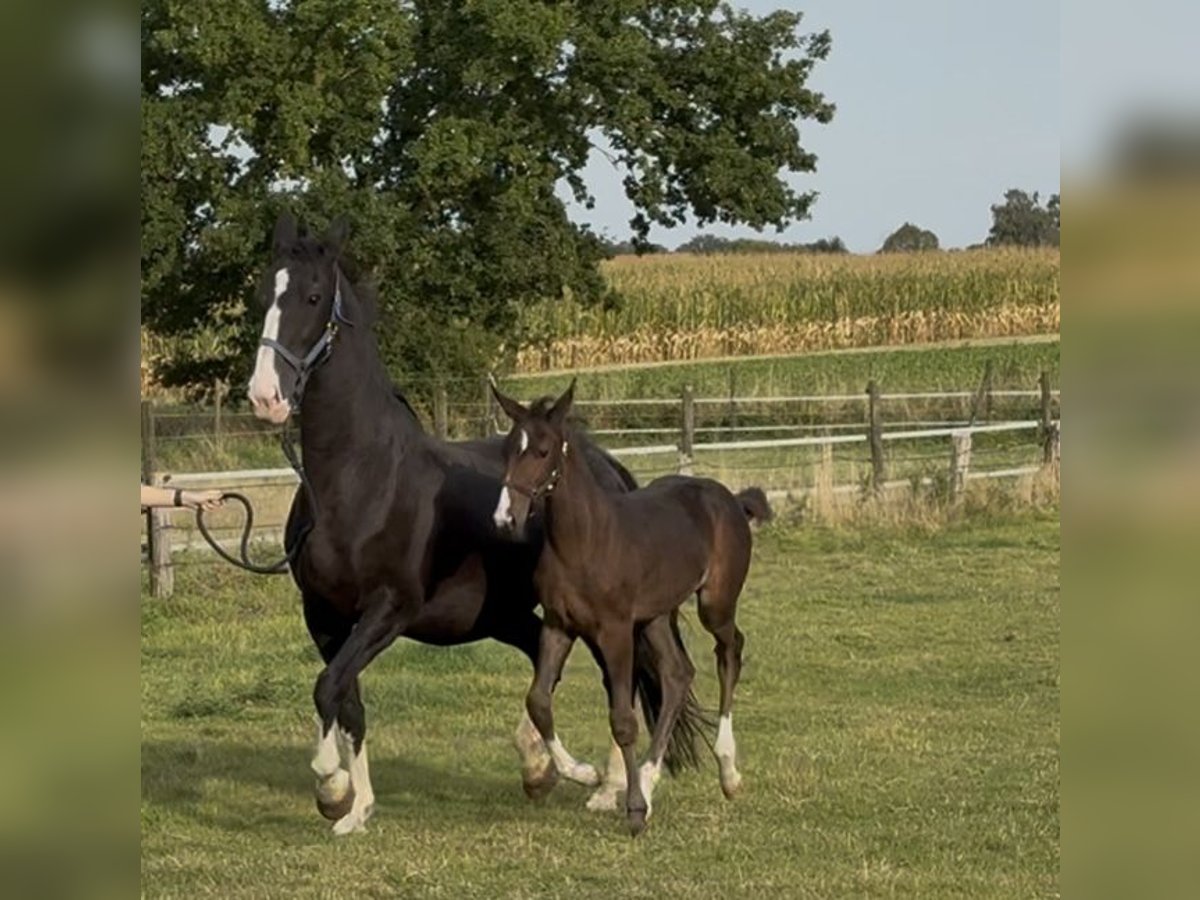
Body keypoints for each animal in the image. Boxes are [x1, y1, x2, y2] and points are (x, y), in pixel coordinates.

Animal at [245, 213, 685, 833]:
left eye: (311, 296)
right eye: (264, 295)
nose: (265, 397)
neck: (362, 481)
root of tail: (610, 468)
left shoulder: (389, 608)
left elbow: (328, 688)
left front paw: (330, 785)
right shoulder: (324, 615)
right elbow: (346, 699)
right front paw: (355, 807)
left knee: (615, 676)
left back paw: (610, 785)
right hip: (502, 612)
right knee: (542, 663)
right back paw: (543, 769)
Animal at [490, 379, 772, 835]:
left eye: (544, 450)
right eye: (508, 449)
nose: (505, 519)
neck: (584, 542)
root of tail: (729, 498)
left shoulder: (615, 631)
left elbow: (623, 719)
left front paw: (635, 810)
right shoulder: (559, 625)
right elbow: (539, 702)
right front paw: (585, 774)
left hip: (714, 604)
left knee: (730, 650)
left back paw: (728, 772)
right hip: (655, 616)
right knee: (678, 674)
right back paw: (650, 779)